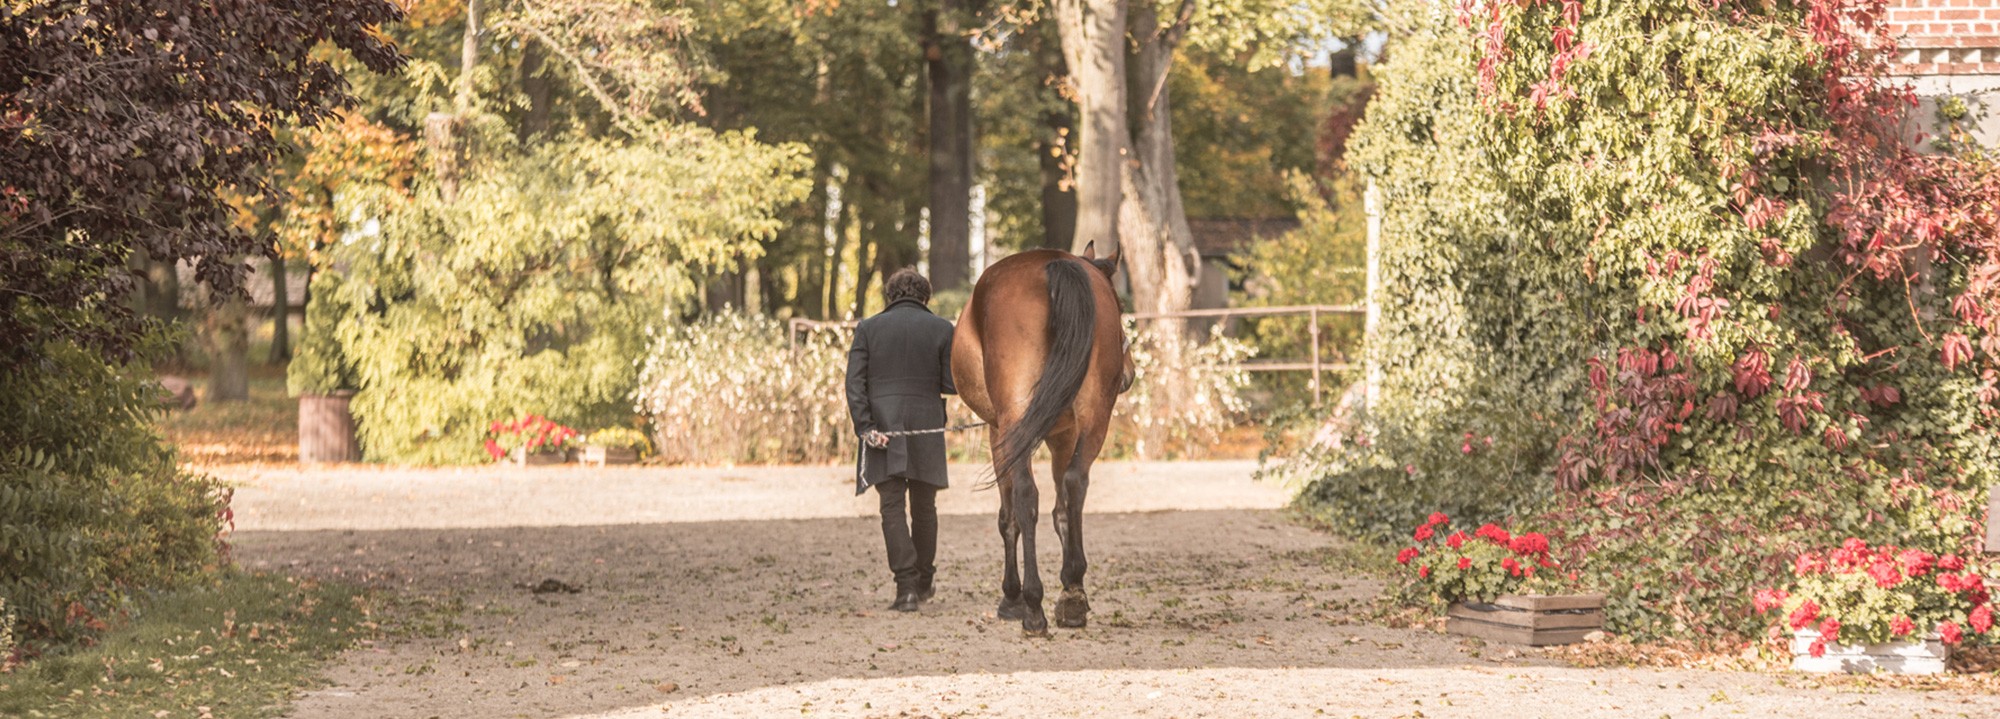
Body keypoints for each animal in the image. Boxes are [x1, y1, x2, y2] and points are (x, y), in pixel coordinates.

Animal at [948, 242, 1128, 635]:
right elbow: (1062, 507)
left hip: (1014, 424)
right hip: (1094, 418)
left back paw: (1031, 605)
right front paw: (1071, 586)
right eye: (1122, 308)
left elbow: (1009, 516)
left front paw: (1012, 597)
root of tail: (1052, 263)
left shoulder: (999, 432)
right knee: (1075, 484)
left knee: (1026, 498)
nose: (1129, 376)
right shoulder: (1064, 434)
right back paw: (1071, 595)